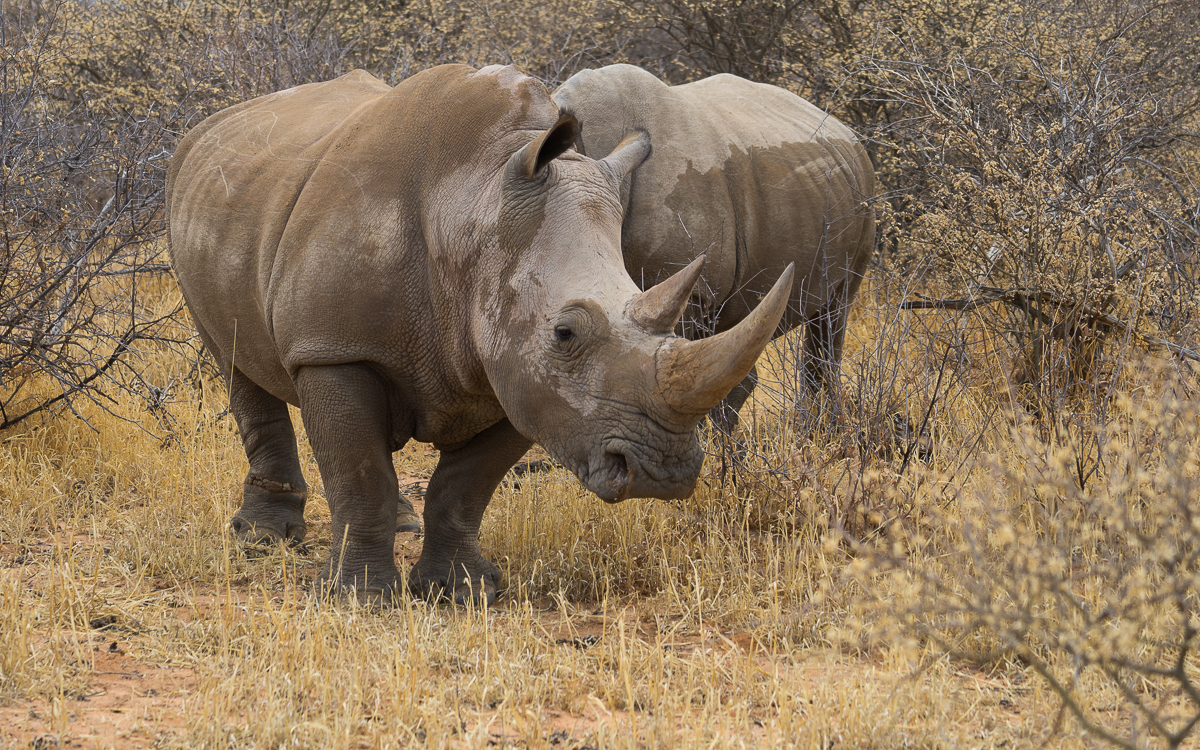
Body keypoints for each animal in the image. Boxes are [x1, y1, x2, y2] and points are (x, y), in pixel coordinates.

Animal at [167, 64, 793, 604]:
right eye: (565, 333)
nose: (661, 473)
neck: (474, 201)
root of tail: (210, 126)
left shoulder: (518, 371)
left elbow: (465, 486)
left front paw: (465, 591)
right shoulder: (333, 351)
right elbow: (359, 475)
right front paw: (358, 599)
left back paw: (399, 523)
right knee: (235, 364)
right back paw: (260, 539)